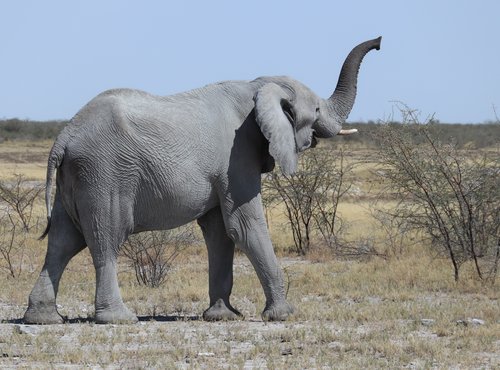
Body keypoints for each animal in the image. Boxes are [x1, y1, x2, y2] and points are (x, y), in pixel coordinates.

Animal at [23, 36, 380, 324]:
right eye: (317, 109)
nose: (379, 41)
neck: (258, 85)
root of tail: (65, 136)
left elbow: (220, 231)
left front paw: (222, 317)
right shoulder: (237, 156)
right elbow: (244, 226)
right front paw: (282, 315)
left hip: (76, 177)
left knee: (62, 241)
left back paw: (44, 319)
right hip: (104, 173)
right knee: (105, 239)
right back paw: (119, 319)